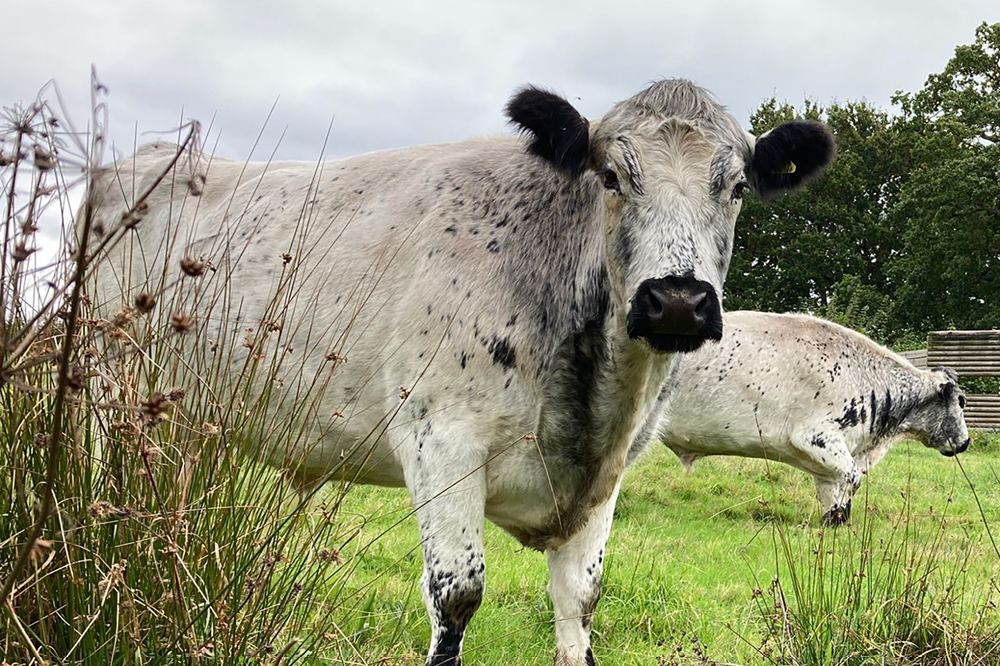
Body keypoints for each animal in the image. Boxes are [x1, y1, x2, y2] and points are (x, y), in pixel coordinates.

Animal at [86, 80, 836, 660]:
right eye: (612, 179)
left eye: (735, 187)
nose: (676, 300)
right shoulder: (440, 445)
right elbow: (457, 601)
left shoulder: (607, 479)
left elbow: (579, 606)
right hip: (106, 397)